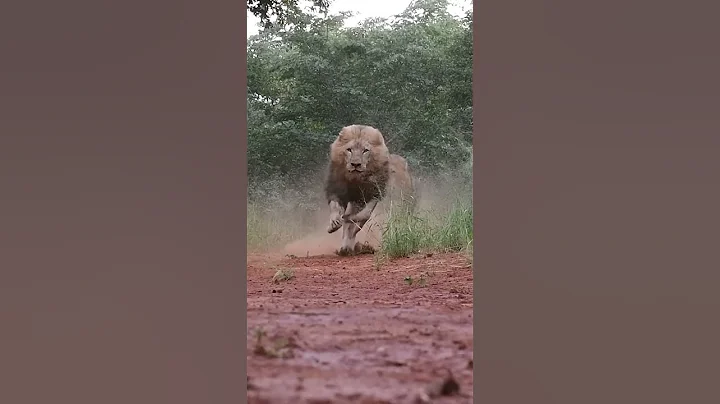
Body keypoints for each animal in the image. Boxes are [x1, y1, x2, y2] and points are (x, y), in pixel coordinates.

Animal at [324, 124, 391, 255]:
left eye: (365, 150)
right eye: (349, 149)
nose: (355, 164)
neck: (356, 180)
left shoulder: (374, 194)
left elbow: (364, 214)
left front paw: (349, 218)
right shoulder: (336, 189)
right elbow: (335, 207)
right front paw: (334, 224)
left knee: (355, 225)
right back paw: (344, 248)